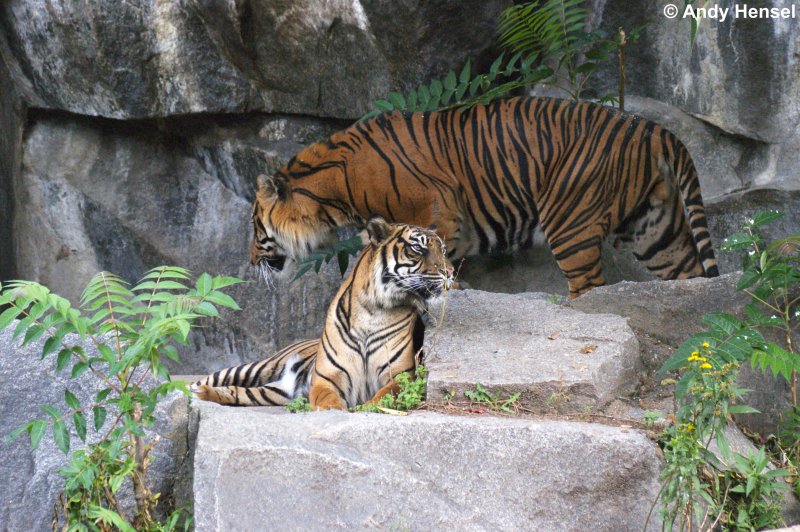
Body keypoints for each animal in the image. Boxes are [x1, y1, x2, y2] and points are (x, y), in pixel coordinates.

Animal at [191, 218, 454, 410]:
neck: (375, 309)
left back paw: (204, 394)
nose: (450, 272)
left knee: (239, 393)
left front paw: (367, 407)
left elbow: (383, 396)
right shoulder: (327, 378)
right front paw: (335, 410)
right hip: (257, 367)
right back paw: (195, 390)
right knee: (215, 378)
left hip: (273, 392)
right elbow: (327, 399)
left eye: (443, 250)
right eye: (418, 248)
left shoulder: (400, 376)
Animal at [248, 93, 720, 298]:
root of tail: (653, 129)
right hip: (654, 227)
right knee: (689, 273)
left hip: (571, 223)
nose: (251, 263)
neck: (336, 193)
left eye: (255, 226)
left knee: (588, 286)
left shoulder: (437, 212)